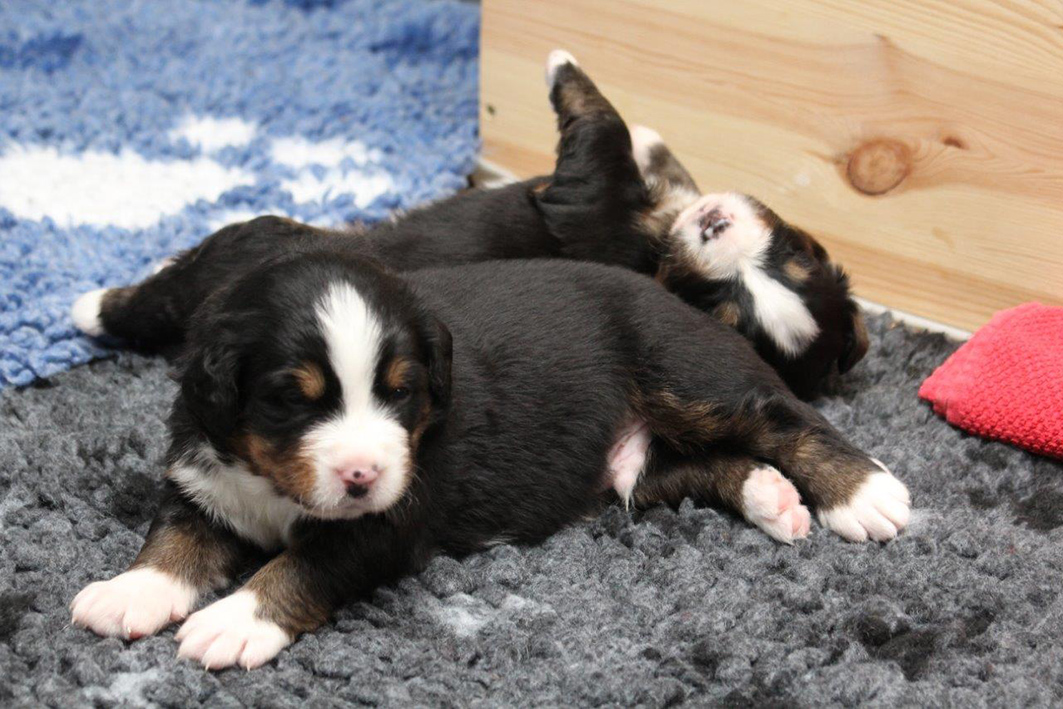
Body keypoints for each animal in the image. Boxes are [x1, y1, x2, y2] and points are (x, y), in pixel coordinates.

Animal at [70, 252, 910, 669]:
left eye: (401, 391)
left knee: (785, 418)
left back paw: (862, 492)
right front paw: (131, 591)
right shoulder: (202, 472)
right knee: (697, 466)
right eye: (287, 399)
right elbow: (176, 535)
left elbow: (301, 566)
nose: (360, 476)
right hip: (630, 469)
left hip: (684, 370)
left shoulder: (387, 519)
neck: (275, 484)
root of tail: (680, 297)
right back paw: (772, 497)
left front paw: (233, 620)